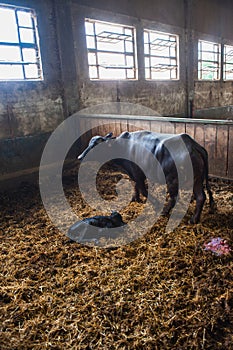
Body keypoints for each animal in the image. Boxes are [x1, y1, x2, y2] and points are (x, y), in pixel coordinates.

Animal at [78, 130, 215, 223]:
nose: (80, 156)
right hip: (197, 180)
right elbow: (135, 186)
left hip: (173, 180)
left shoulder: (138, 174)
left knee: (174, 197)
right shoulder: (132, 173)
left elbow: (143, 190)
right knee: (201, 197)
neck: (123, 147)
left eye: (96, 145)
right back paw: (194, 218)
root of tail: (192, 144)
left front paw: (155, 203)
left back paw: (166, 212)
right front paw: (135, 198)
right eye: (90, 143)